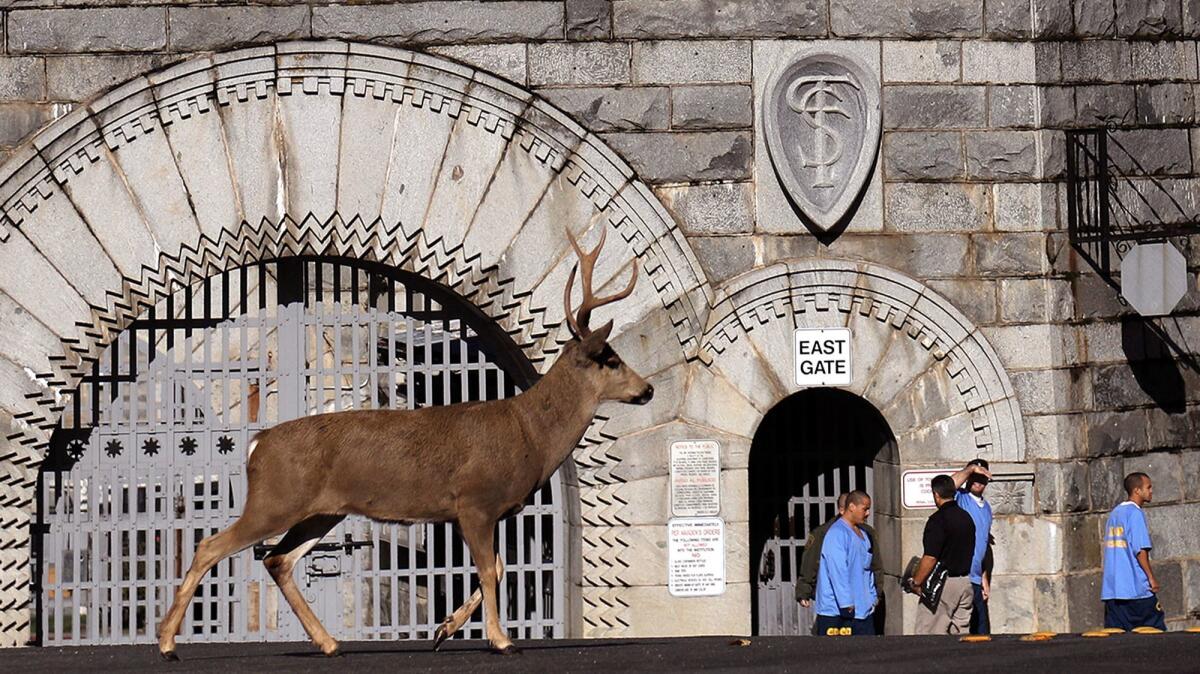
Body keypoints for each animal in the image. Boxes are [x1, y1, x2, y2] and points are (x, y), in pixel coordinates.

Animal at [159, 227, 657, 657]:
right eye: (610, 358)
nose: (648, 389)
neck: (529, 432)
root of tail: (257, 444)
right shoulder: (474, 500)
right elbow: (490, 571)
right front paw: (500, 639)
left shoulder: (481, 511)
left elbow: (495, 569)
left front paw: (445, 629)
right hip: (275, 499)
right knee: (212, 547)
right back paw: (166, 644)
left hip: (321, 511)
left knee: (279, 560)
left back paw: (329, 643)